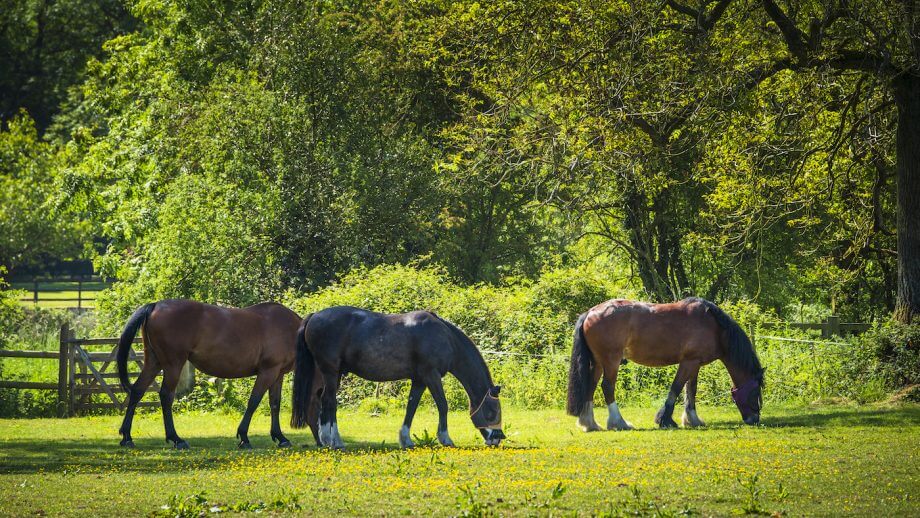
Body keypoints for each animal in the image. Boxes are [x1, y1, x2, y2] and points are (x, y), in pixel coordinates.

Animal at [115, 299, 320, 449]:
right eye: (320, 399)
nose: (322, 441)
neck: (290, 329)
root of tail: (156, 305)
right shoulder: (267, 372)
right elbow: (253, 402)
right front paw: (244, 437)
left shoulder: (277, 374)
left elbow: (274, 404)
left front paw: (280, 437)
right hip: (173, 364)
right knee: (166, 396)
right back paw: (176, 439)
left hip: (154, 363)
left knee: (137, 391)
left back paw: (127, 437)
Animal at [289, 306, 505, 449]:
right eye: (492, 411)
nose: (497, 438)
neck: (444, 337)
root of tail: (314, 316)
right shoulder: (431, 375)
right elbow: (443, 405)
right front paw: (445, 438)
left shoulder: (419, 380)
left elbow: (411, 407)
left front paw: (406, 440)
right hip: (331, 372)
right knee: (329, 401)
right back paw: (334, 441)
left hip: (335, 374)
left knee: (324, 400)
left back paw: (326, 439)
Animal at [566, 297, 765, 431]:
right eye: (755, 392)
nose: (754, 419)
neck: (714, 326)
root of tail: (590, 313)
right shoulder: (688, 362)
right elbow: (676, 388)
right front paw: (665, 420)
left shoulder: (695, 363)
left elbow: (690, 390)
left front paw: (692, 420)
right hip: (611, 360)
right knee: (607, 387)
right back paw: (619, 422)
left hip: (598, 362)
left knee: (590, 387)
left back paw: (590, 424)